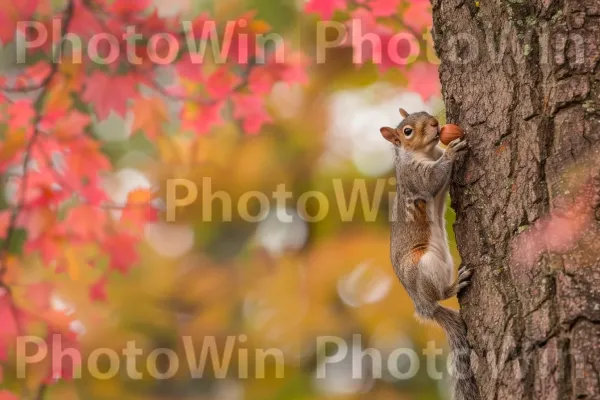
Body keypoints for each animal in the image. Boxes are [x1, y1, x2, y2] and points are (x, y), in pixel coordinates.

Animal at [380, 107, 482, 400]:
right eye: (407, 131)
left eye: (423, 112)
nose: (436, 123)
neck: (424, 153)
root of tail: (422, 306)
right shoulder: (415, 177)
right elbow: (431, 180)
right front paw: (452, 151)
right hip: (423, 265)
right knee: (439, 293)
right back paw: (454, 286)